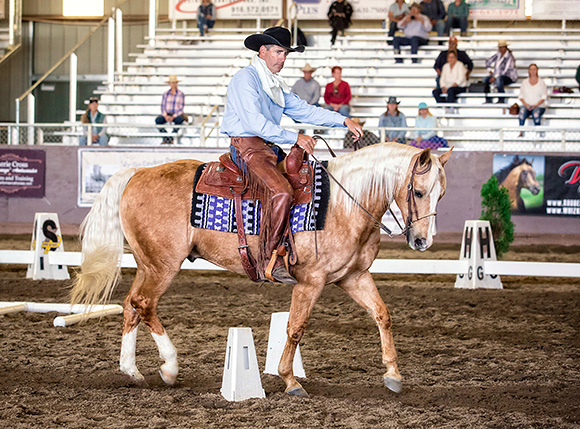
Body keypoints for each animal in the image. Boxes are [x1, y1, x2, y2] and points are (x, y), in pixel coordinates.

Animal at [71, 142, 454, 396]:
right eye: (419, 191)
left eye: (441, 195)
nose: (422, 241)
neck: (342, 205)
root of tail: (137, 172)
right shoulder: (310, 282)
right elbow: (295, 328)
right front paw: (289, 379)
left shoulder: (353, 277)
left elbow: (382, 315)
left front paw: (393, 375)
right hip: (163, 264)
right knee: (145, 304)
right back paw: (169, 367)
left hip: (147, 264)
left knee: (131, 305)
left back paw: (132, 371)